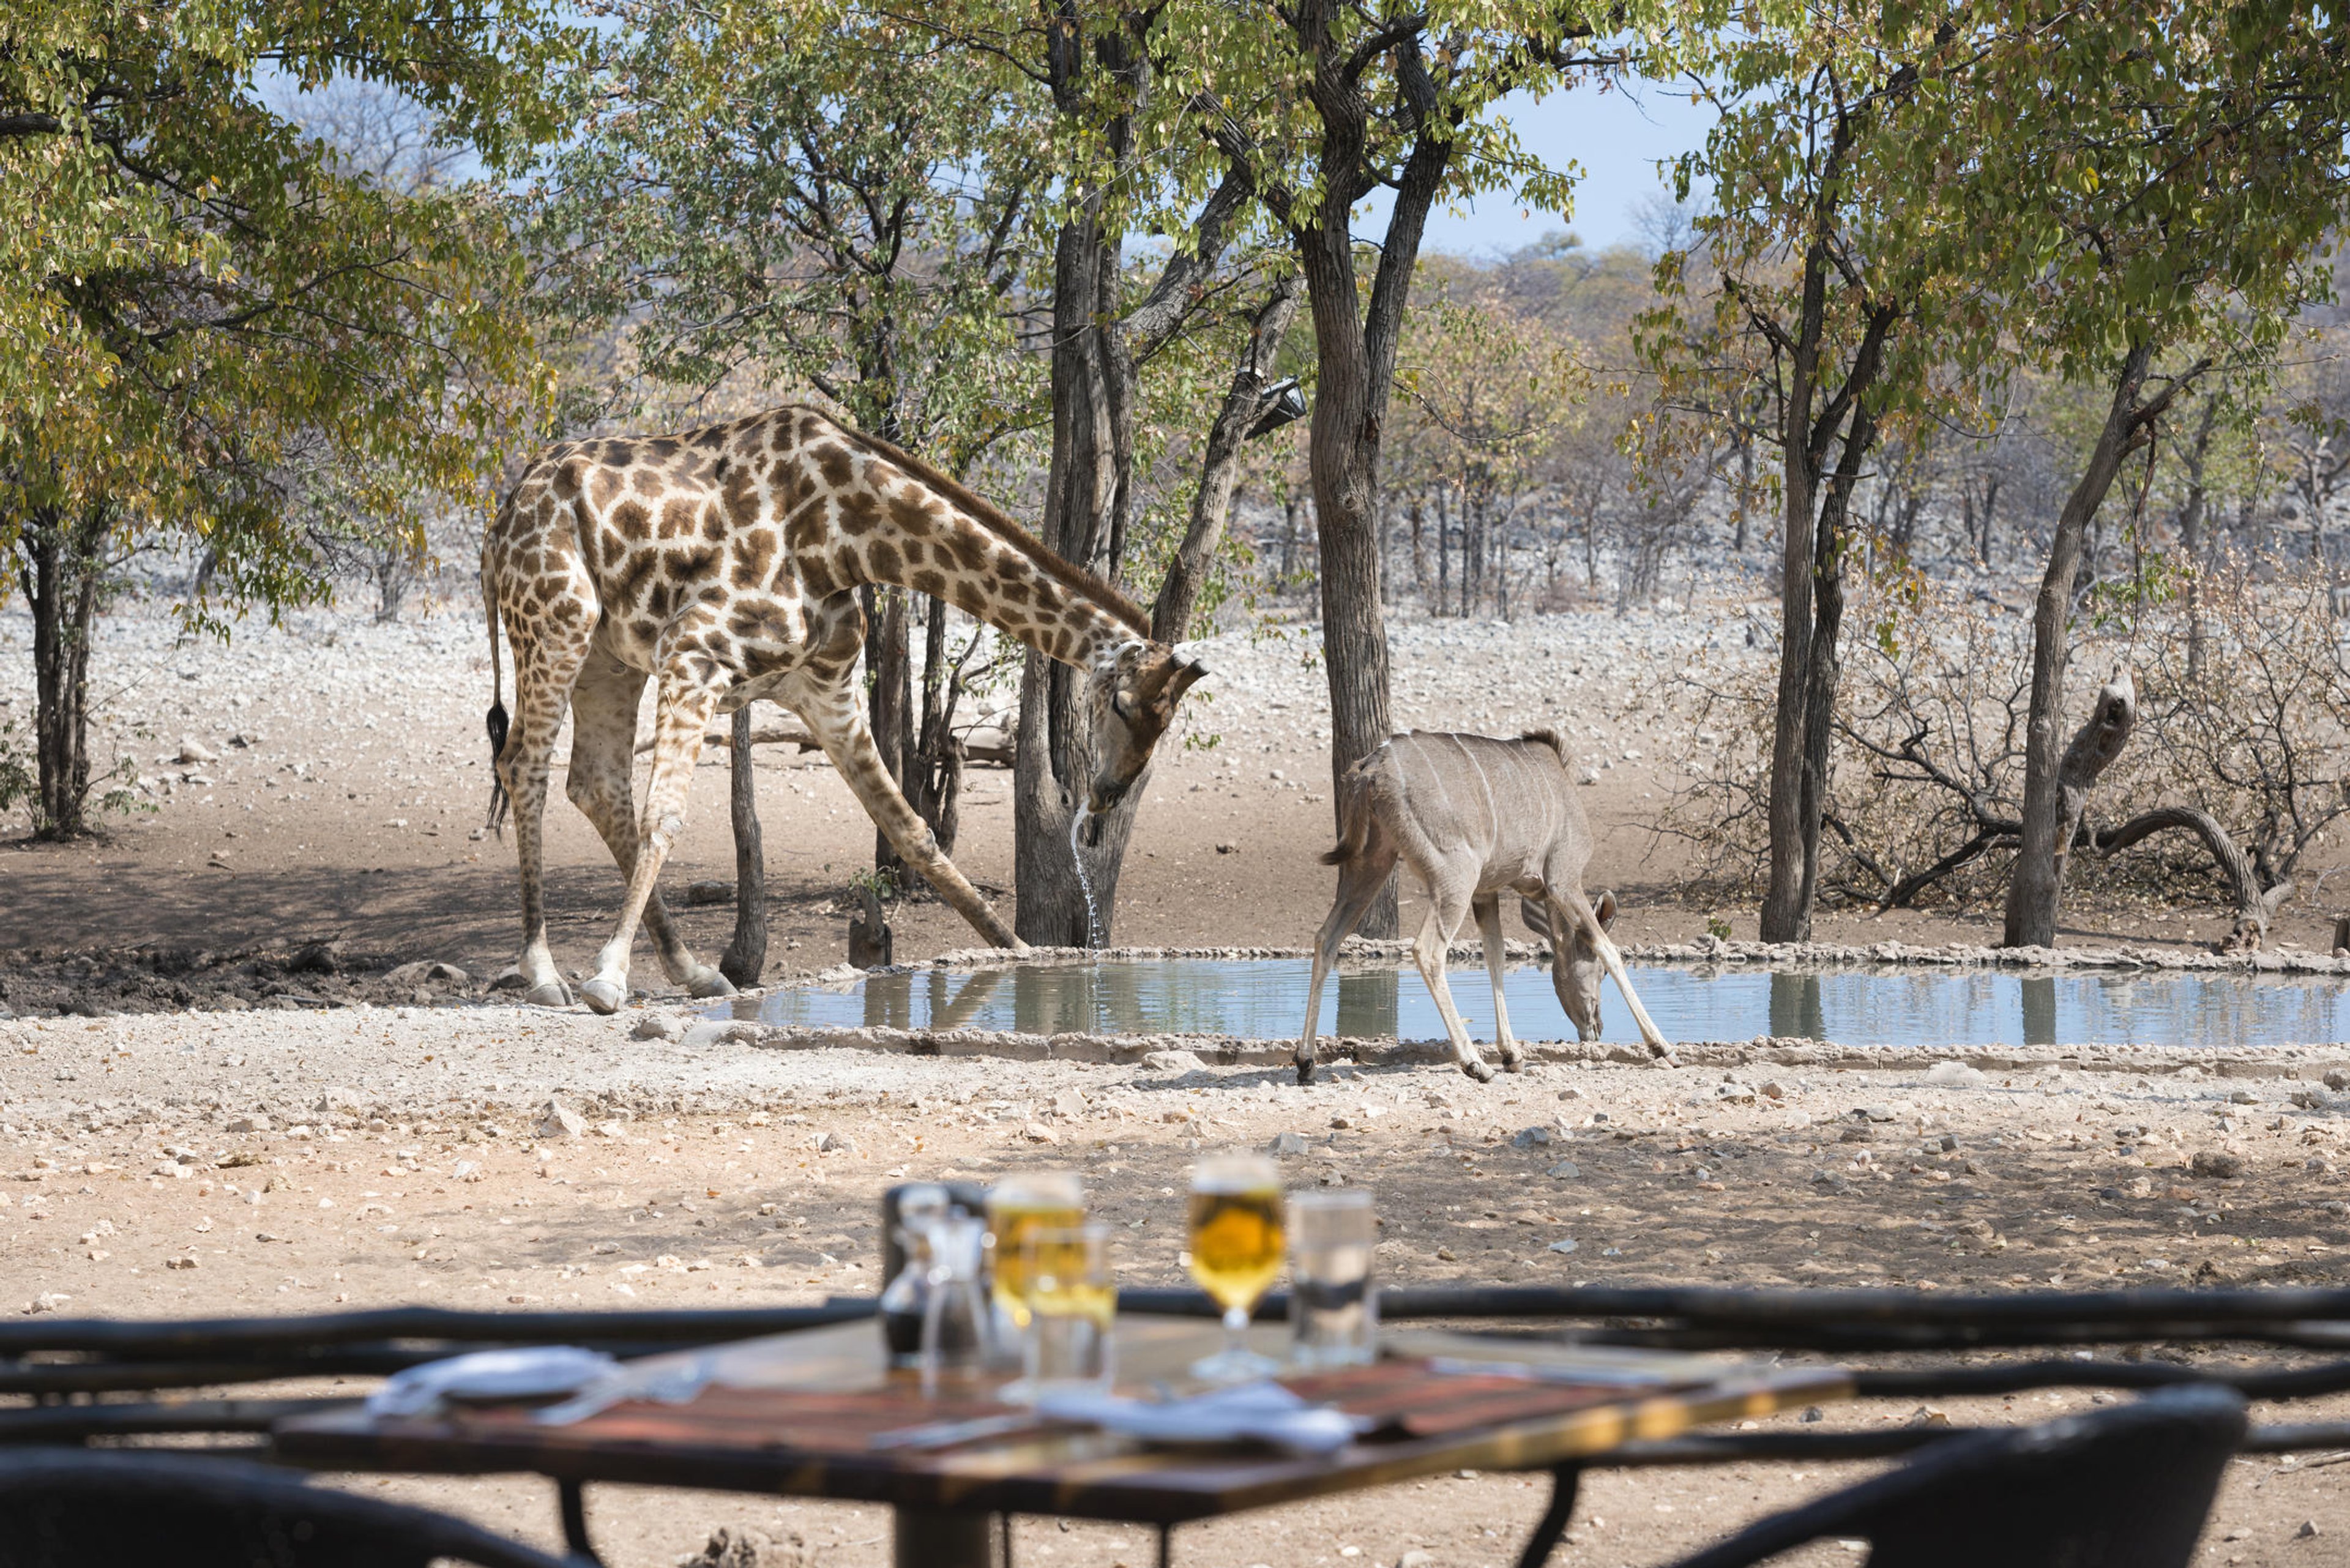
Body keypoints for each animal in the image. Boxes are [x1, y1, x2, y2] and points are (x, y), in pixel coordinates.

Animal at [482, 404, 1212, 1020]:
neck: (848, 538)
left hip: (611, 658)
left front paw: (1022, 957)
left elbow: (914, 832)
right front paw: (607, 977)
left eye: (1166, 723)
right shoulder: (695, 654)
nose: (1109, 793)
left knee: (595, 783)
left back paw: (695, 973)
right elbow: (665, 815)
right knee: (525, 767)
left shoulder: (826, 691)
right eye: (1121, 704)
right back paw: (546, 974)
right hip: (558, 621)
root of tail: (498, 524)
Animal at [1307, 733, 1673, 1081]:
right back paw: (1475, 1064)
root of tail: (1371, 770)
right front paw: (1662, 1048)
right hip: (1454, 878)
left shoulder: (1487, 892)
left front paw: (1512, 1055)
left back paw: (1306, 1062)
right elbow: (1607, 947)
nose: (1595, 1028)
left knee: (1327, 937)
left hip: (1371, 865)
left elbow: (1495, 954)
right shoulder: (1564, 879)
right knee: (1427, 950)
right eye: (1598, 973)